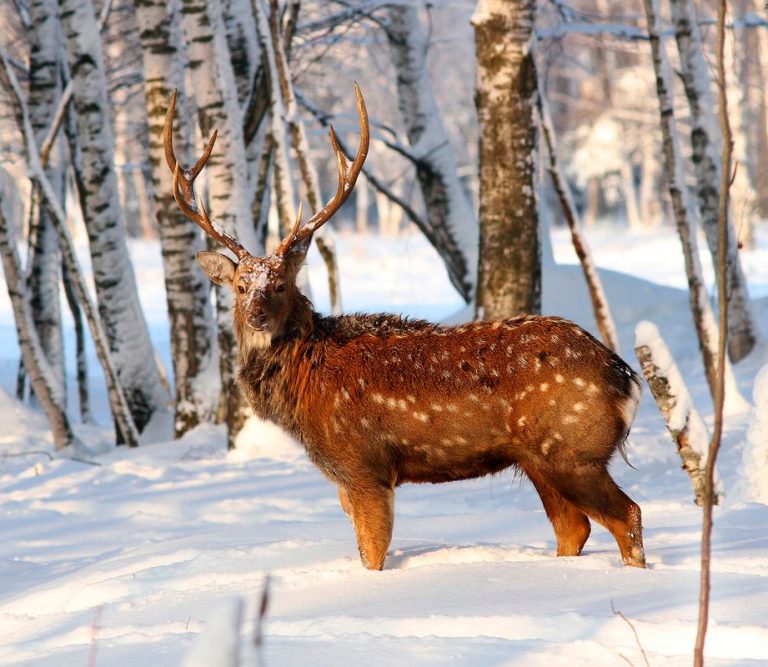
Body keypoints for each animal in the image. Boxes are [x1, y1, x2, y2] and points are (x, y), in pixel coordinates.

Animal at [164, 86, 648, 572]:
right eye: (241, 286)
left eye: (281, 283)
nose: (257, 316)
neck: (306, 384)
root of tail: (624, 377)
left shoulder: (364, 465)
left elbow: (372, 556)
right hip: (539, 460)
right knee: (575, 528)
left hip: (573, 450)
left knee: (627, 516)